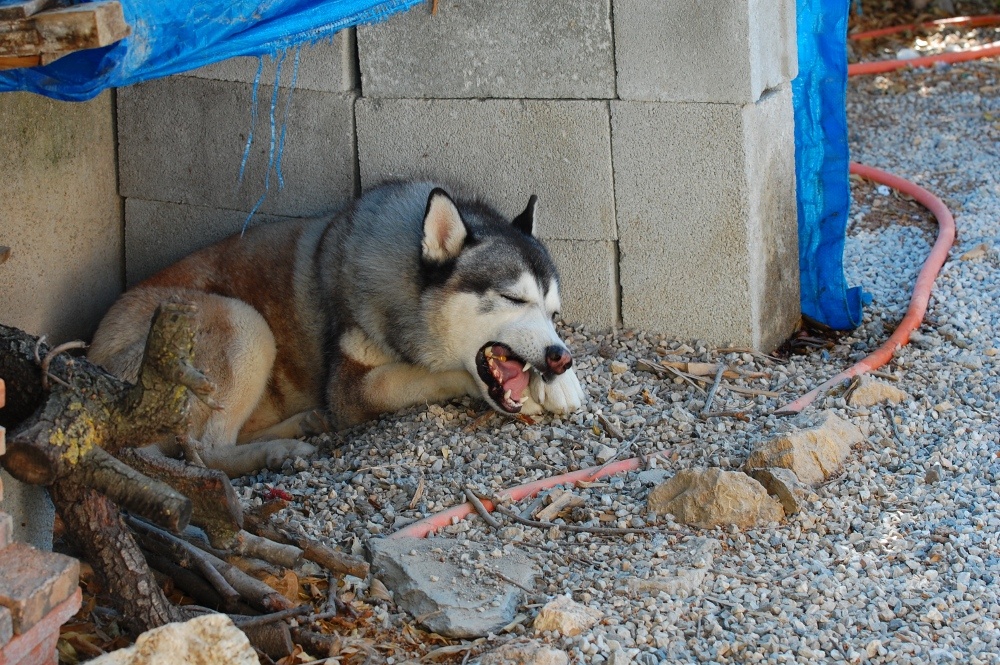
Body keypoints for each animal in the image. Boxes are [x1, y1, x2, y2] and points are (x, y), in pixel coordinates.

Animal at [88, 179, 584, 474]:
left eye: (553, 313)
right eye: (513, 298)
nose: (560, 358)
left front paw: (560, 384)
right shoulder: (351, 389)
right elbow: (436, 373)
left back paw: (301, 425)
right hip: (242, 323)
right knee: (204, 451)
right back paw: (279, 451)